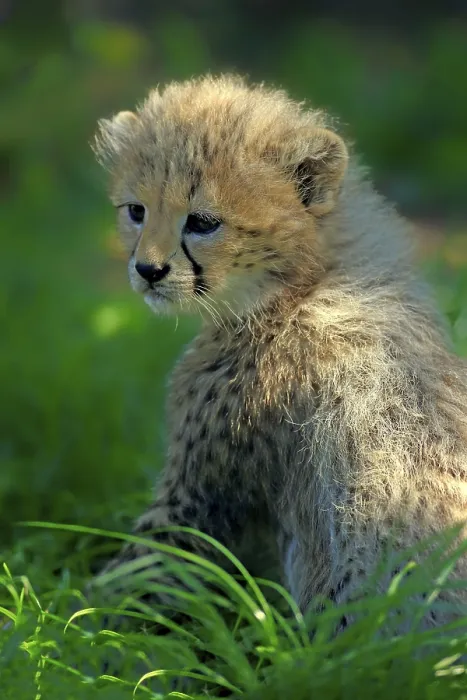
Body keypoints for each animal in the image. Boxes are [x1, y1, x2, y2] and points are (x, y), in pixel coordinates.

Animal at [92, 74, 467, 630]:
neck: (304, 282)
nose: (148, 271)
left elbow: (130, 580)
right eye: (136, 212)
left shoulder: (199, 498)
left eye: (202, 222)